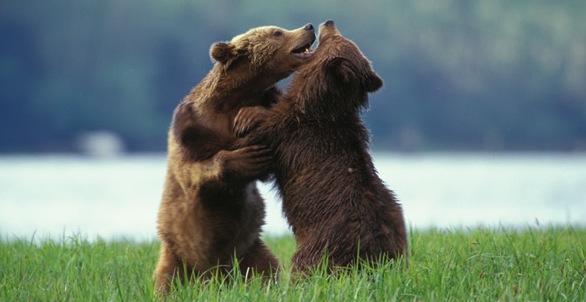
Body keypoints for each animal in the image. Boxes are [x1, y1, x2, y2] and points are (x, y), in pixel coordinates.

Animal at [152, 24, 314, 294]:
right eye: (277, 32)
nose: (309, 27)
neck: (231, 100)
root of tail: (214, 275)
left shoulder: (262, 105)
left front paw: (249, 118)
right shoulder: (190, 126)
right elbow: (193, 169)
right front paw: (246, 158)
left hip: (250, 251)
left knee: (266, 268)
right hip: (176, 255)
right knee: (167, 280)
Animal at [233, 18, 406, 274]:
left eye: (337, 38)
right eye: (344, 37)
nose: (328, 22)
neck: (317, 106)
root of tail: (374, 259)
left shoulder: (289, 134)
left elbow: (260, 138)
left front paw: (246, 115)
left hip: (323, 245)